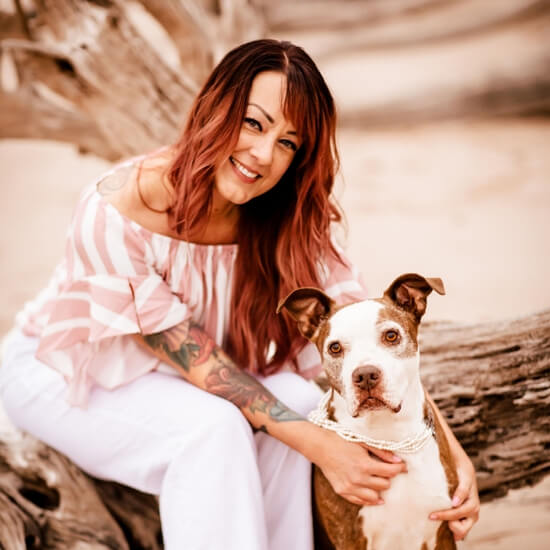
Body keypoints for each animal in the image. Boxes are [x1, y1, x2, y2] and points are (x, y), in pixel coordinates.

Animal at [278, 273, 458, 550]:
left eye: (391, 335)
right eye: (335, 348)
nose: (365, 375)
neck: (388, 432)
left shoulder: (444, 531)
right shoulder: (349, 538)